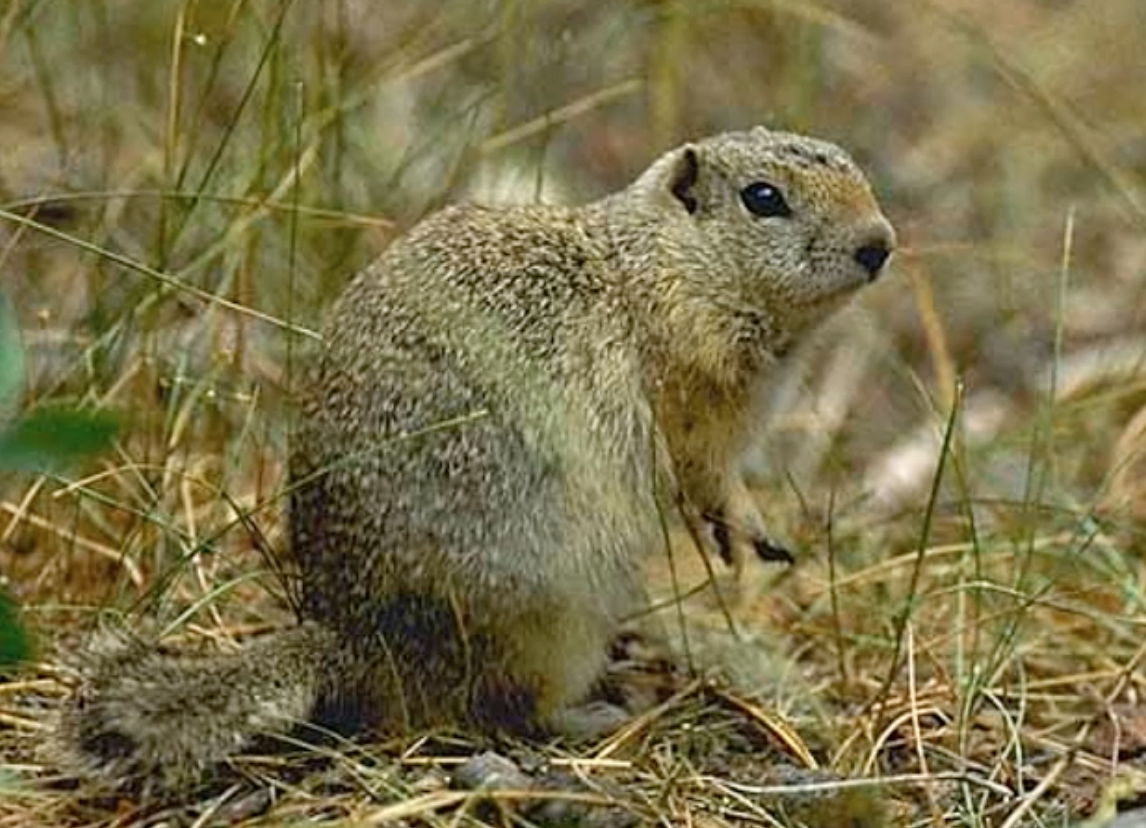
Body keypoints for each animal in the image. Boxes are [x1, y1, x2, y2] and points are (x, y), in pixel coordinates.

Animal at [52, 126, 894, 792]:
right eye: (764, 198)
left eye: (855, 169)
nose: (879, 244)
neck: (662, 263)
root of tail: (350, 643)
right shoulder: (691, 396)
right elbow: (709, 476)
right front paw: (752, 532)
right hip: (557, 616)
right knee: (507, 708)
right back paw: (599, 712)